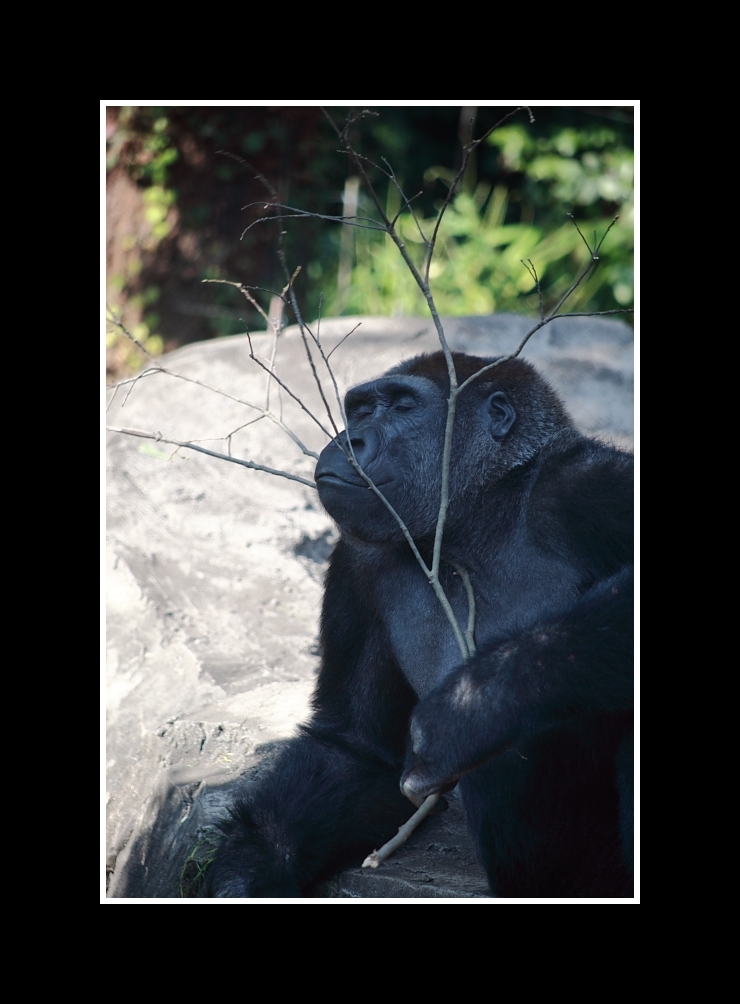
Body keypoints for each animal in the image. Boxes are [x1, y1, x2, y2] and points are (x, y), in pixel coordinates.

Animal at [204, 349, 630, 899]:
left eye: (403, 406)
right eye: (361, 411)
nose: (350, 441)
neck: (478, 518)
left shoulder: (584, 486)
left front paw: (470, 709)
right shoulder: (358, 561)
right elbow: (355, 749)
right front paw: (246, 873)